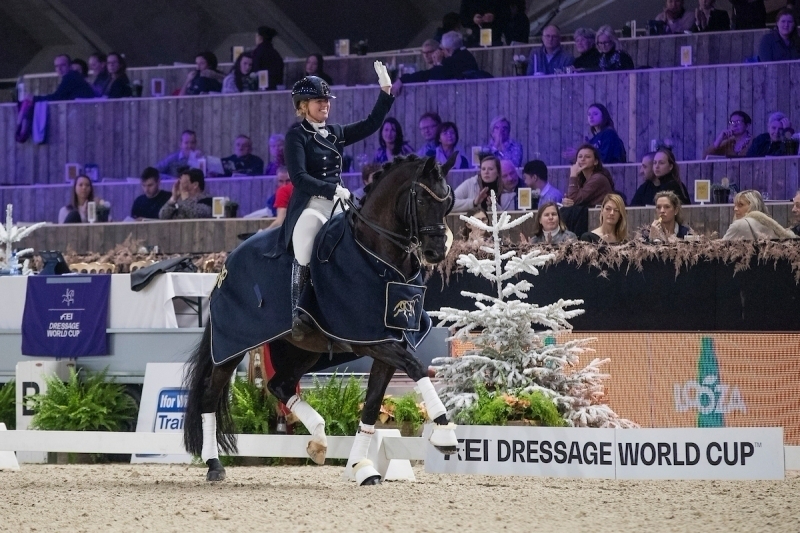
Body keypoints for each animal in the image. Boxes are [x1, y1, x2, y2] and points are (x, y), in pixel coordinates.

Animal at [183, 154, 460, 484]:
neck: (377, 257)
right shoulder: (370, 341)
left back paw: (318, 437)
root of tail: (224, 266)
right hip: (231, 348)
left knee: (280, 386)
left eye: (448, 201)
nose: (436, 252)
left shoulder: (389, 343)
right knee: (210, 397)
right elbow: (417, 367)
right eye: (420, 198)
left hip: (301, 350)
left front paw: (361, 467)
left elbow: (372, 405)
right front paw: (444, 433)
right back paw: (214, 465)